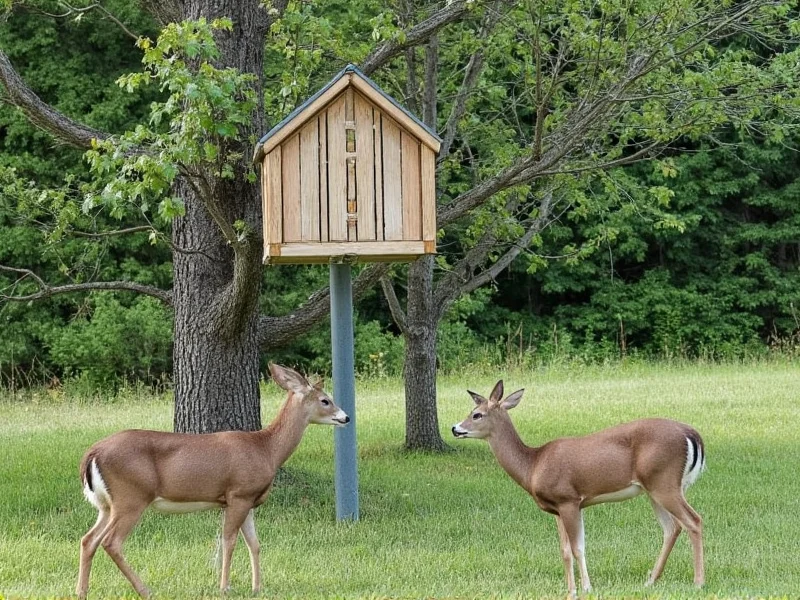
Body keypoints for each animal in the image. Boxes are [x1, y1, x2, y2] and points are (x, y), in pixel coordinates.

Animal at [76, 363, 349, 599]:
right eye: (325, 400)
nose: (345, 417)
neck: (266, 449)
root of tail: (92, 453)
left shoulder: (248, 500)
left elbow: (254, 544)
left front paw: (257, 588)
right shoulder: (238, 493)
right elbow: (229, 541)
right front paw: (225, 587)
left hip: (107, 505)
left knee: (88, 539)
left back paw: (82, 591)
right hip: (131, 497)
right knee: (111, 542)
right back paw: (145, 590)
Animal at [451, 380, 705, 598]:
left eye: (477, 414)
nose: (455, 428)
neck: (533, 465)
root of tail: (692, 434)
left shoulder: (569, 499)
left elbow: (577, 548)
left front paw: (586, 588)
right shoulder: (557, 508)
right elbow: (564, 551)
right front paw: (570, 591)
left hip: (664, 482)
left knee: (693, 520)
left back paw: (698, 582)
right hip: (653, 488)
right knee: (672, 528)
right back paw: (651, 580)